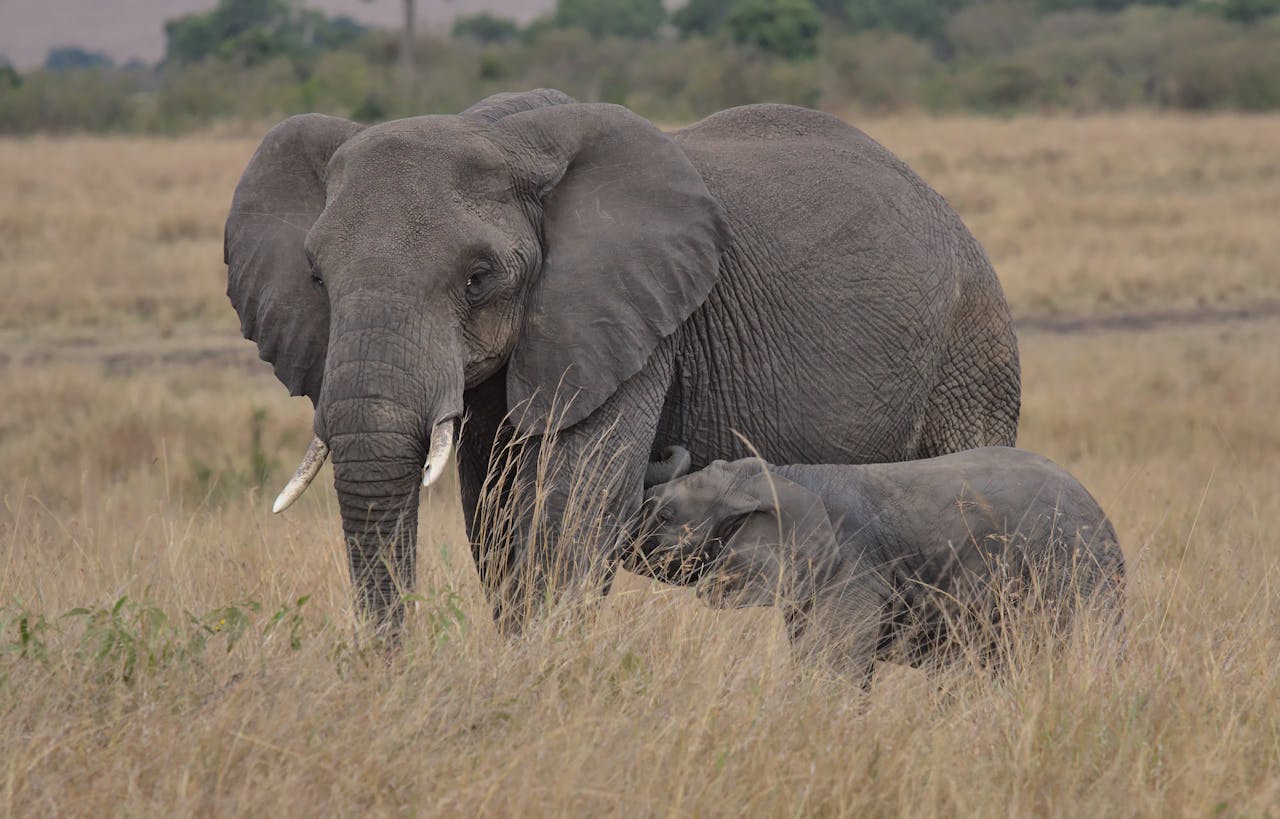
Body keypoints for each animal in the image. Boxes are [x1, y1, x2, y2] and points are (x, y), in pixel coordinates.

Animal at [223, 89, 1021, 636]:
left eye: (478, 279)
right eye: (316, 278)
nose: (393, 668)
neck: (499, 132)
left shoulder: (631, 320)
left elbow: (572, 501)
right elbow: (496, 512)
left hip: (973, 347)